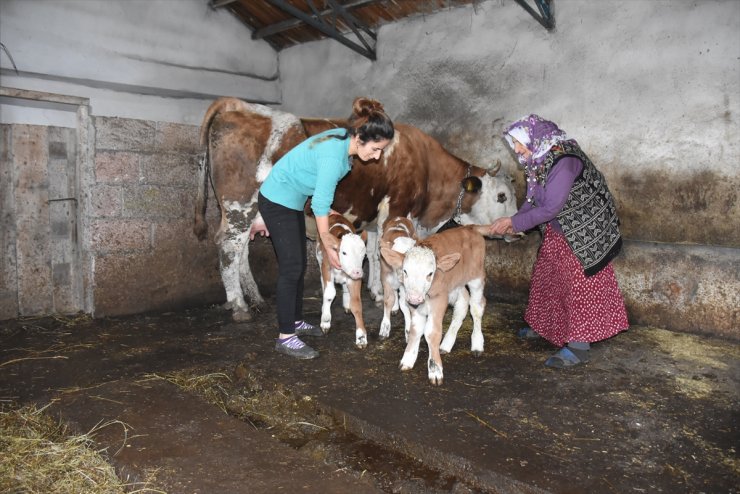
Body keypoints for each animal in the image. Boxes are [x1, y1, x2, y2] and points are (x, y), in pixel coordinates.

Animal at [197, 97, 516, 320]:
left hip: (249, 213)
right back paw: (239, 305)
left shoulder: (374, 218)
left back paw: (255, 299)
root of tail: (235, 104)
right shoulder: (398, 209)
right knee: (229, 248)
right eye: (501, 196)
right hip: (239, 206)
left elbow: (375, 253)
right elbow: (388, 253)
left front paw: (375, 291)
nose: (515, 229)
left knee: (241, 252)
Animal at [314, 215, 368, 348]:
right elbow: (329, 294)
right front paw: (326, 320)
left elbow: (357, 304)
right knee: (323, 281)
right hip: (319, 257)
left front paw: (361, 336)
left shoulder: (355, 278)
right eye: (344, 252)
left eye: (364, 254)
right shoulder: (327, 267)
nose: (357, 272)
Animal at [378, 214, 420, 342]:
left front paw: (408, 330)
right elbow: (388, 300)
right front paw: (384, 328)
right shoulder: (385, 278)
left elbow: (405, 304)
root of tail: (399, 217)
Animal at [382, 225, 492, 386]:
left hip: (476, 278)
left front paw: (435, 370)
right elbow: (415, 330)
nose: (414, 297)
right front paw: (408, 359)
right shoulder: (415, 306)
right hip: (456, 284)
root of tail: (470, 227)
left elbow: (431, 333)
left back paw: (477, 344)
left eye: (430, 273)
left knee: (477, 306)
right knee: (463, 305)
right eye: (405, 271)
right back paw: (446, 344)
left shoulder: (440, 300)